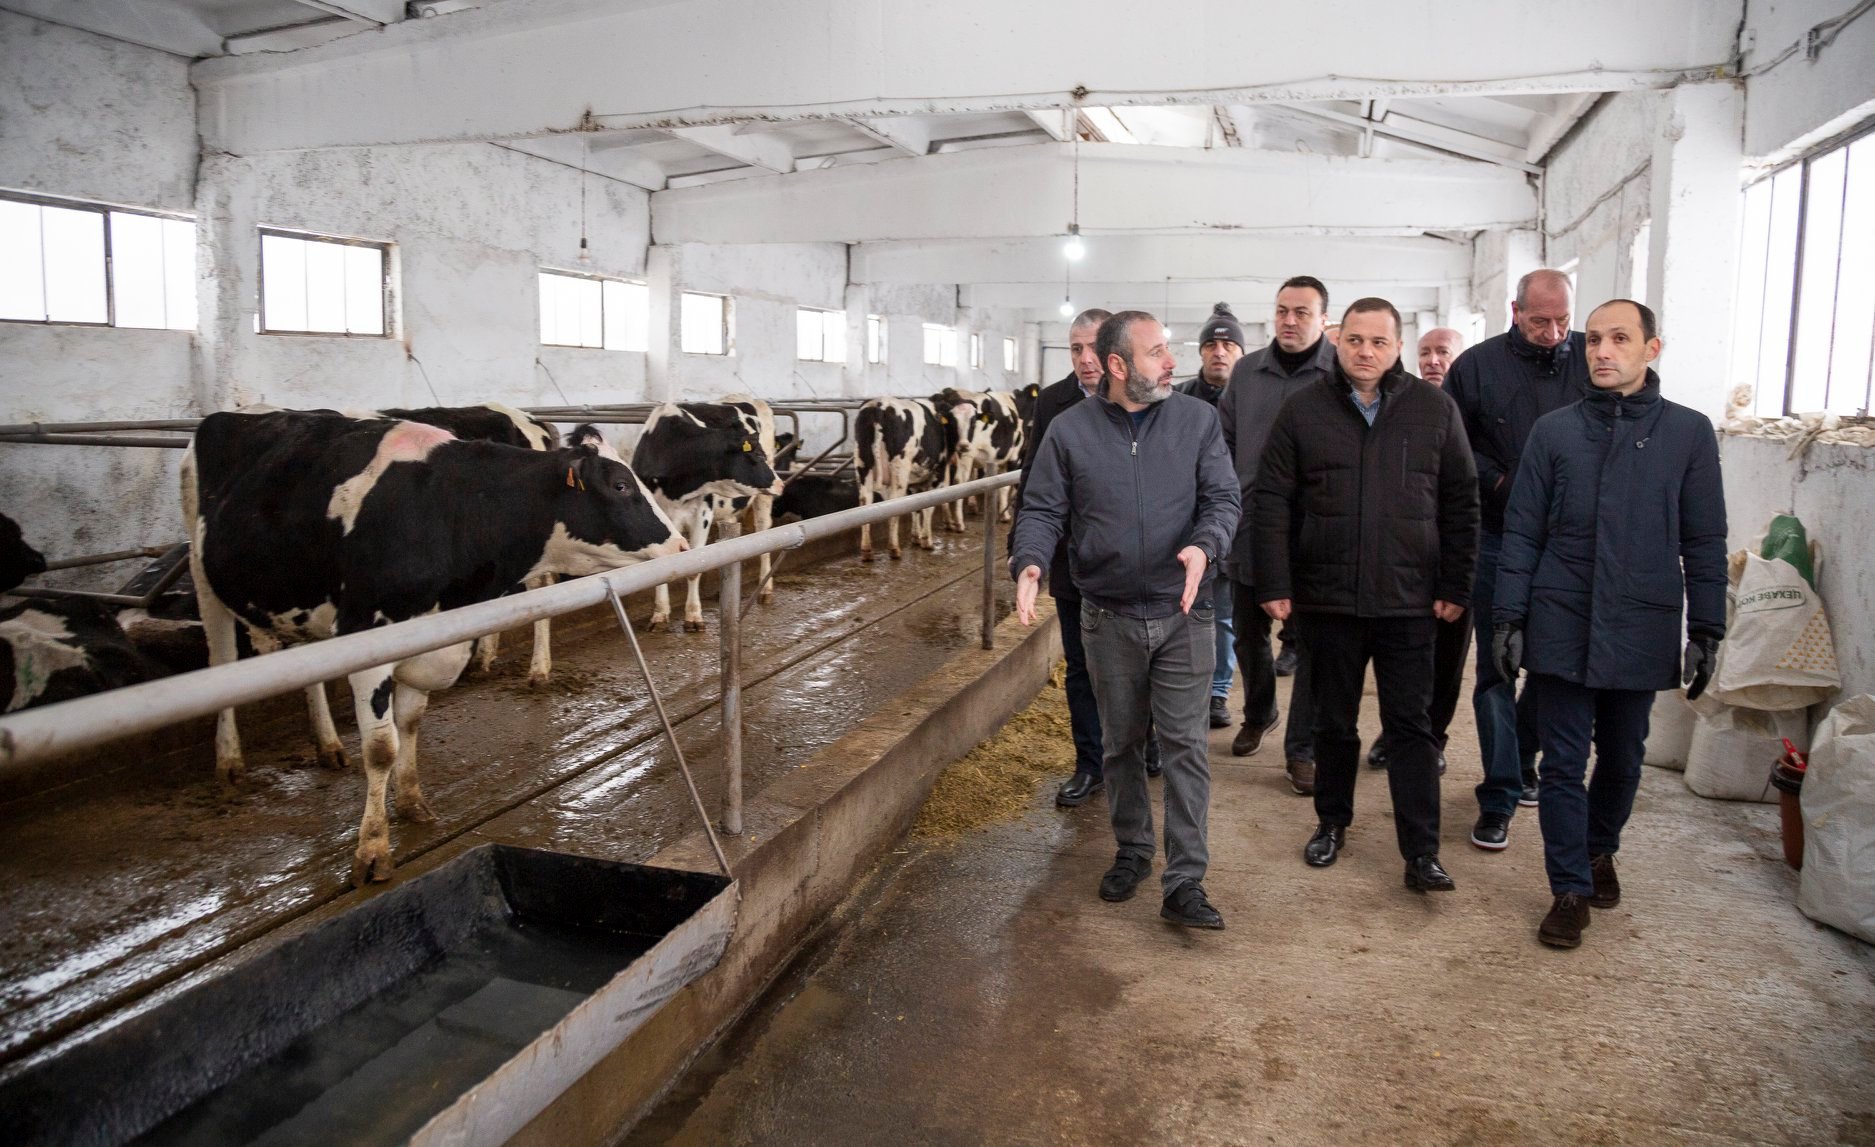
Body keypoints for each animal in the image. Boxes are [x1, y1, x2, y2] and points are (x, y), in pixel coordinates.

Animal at [184, 408, 684, 885]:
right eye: (621, 485)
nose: (681, 546)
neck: (458, 508)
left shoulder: (429, 640)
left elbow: (410, 723)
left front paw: (410, 802)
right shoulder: (366, 634)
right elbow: (381, 748)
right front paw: (372, 849)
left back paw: (327, 745)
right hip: (204, 577)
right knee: (221, 657)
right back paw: (229, 760)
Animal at [593, 401, 781, 632]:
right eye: (758, 456)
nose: (780, 483)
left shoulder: (702, 515)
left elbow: (694, 567)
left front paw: (693, 616)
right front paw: (660, 614)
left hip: (763, 500)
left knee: (764, 535)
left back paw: (766, 590)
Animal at [854, 397, 950, 561]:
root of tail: (879, 404)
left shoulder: (914, 482)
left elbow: (916, 507)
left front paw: (916, 537)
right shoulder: (937, 473)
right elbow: (928, 507)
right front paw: (926, 540)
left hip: (863, 465)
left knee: (865, 500)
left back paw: (867, 550)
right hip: (899, 469)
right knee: (894, 502)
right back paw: (894, 548)